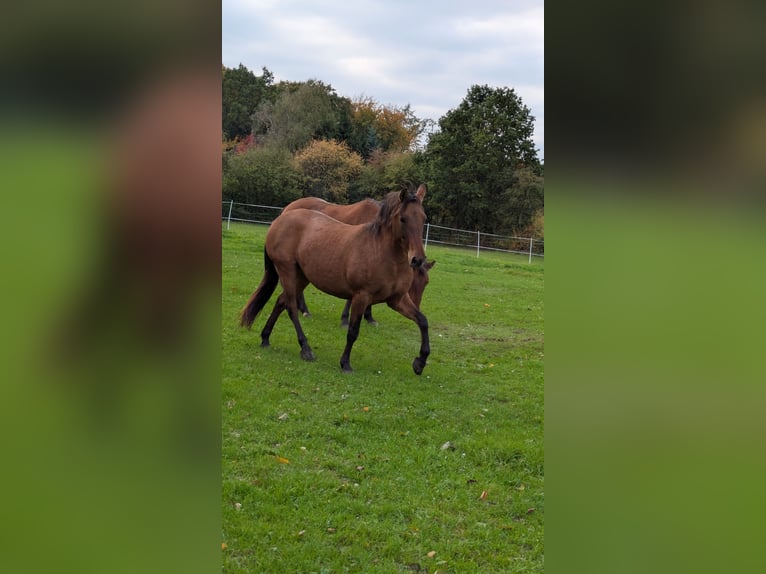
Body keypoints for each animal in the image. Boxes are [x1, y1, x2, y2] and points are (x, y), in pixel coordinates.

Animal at [281, 196, 434, 326]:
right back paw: (304, 310)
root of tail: (289, 208)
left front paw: (369, 317)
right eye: (413, 282)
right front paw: (345, 319)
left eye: (426, 283)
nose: (416, 306)